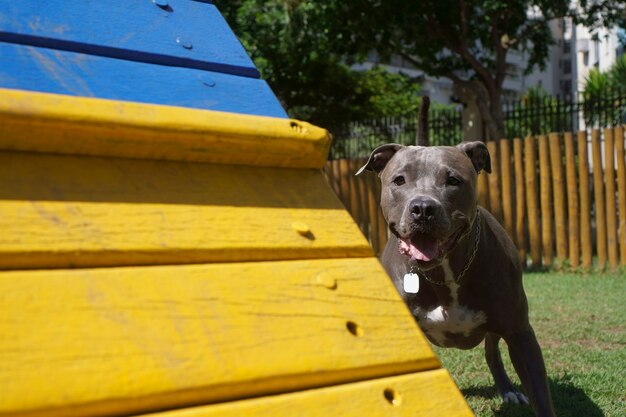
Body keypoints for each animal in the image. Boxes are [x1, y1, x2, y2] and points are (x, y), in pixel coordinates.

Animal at [356, 141, 556, 414]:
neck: (445, 274)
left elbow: (540, 395)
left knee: (492, 353)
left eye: (453, 180)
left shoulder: (519, 332)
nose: (423, 209)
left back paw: (508, 390)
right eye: (399, 180)